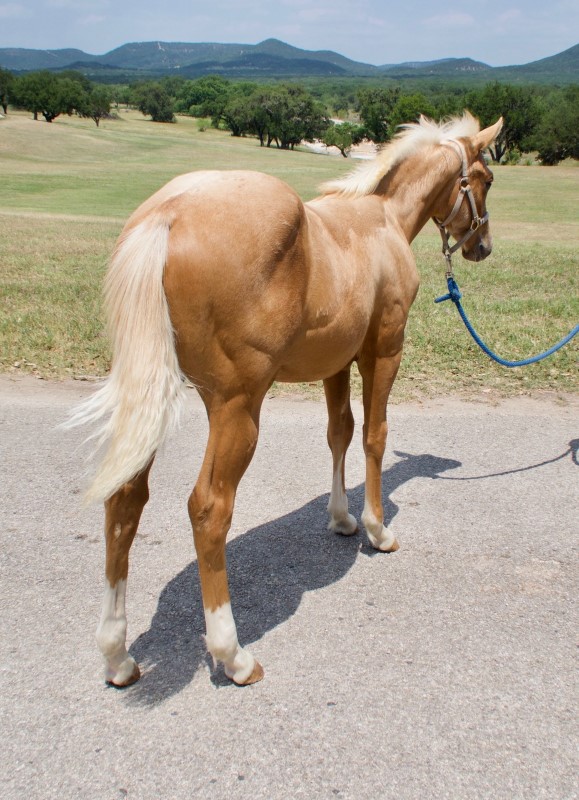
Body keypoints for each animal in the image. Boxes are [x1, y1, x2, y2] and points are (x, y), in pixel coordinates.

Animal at [67, 111, 502, 688]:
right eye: (486, 179)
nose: (482, 246)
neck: (381, 218)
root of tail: (166, 214)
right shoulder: (383, 350)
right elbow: (374, 435)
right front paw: (376, 529)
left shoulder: (336, 362)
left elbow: (339, 433)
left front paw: (341, 519)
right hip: (236, 408)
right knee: (209, 509)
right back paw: (232, 655)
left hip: (151, 395)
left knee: (125, 499)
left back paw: (117, 656)